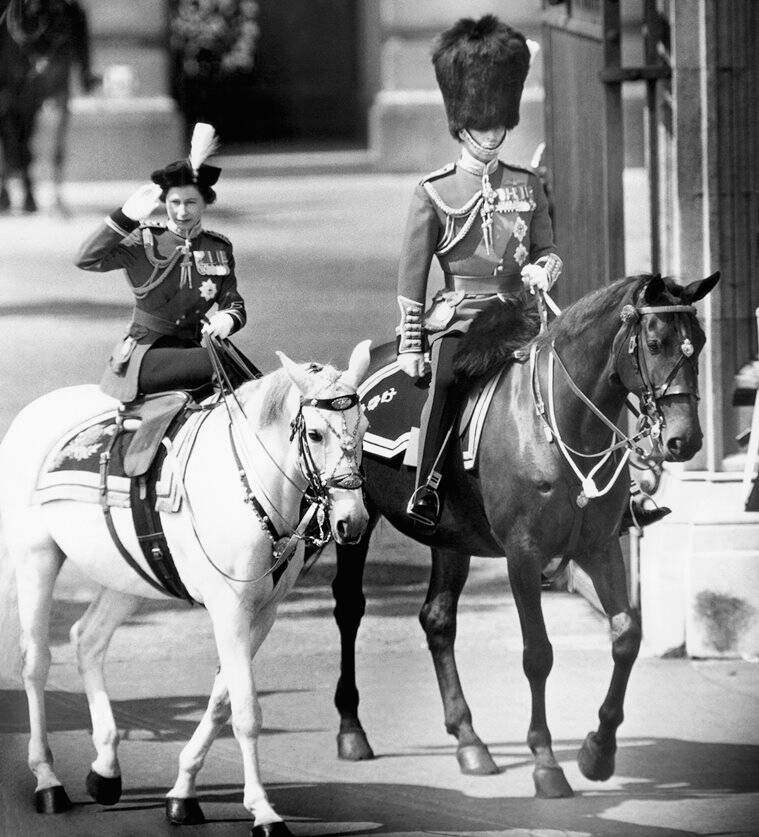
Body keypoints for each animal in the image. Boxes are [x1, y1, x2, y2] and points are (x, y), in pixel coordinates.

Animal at [0, 0, 96, 212]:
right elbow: (17, 148)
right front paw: (23, 199)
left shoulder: (58, 95)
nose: (62, 31)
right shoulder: (9, 98)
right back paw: (7, 196)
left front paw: (57, 203)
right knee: (12, 147)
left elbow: (56, 150)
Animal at [0, 340, 372, 836]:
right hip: (36, 557)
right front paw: (263, 810)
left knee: (88, 641)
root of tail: (34, 411)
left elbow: (221, 702)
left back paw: (106, 769)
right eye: (313, 434)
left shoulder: (262, 614)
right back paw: (47, 779)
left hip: (128, 577)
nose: (354, 521)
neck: (252, 482)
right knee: (36, 663)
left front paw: (182, 793)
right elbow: (246, 712)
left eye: (364, 428)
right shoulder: (230, 609)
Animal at [336, 272, 720, 796]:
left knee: (437, 620)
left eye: (698, 342)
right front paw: (545, 762)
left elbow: (626, 636)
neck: (562, 425)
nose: (686, 440)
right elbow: (537, 654)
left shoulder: (599, 547)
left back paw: (470, 741)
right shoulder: (523, 554)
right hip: (355, 520)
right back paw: (352, 731)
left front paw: (598, 751)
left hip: (450, 539)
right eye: (655, 342)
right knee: (349, 610)